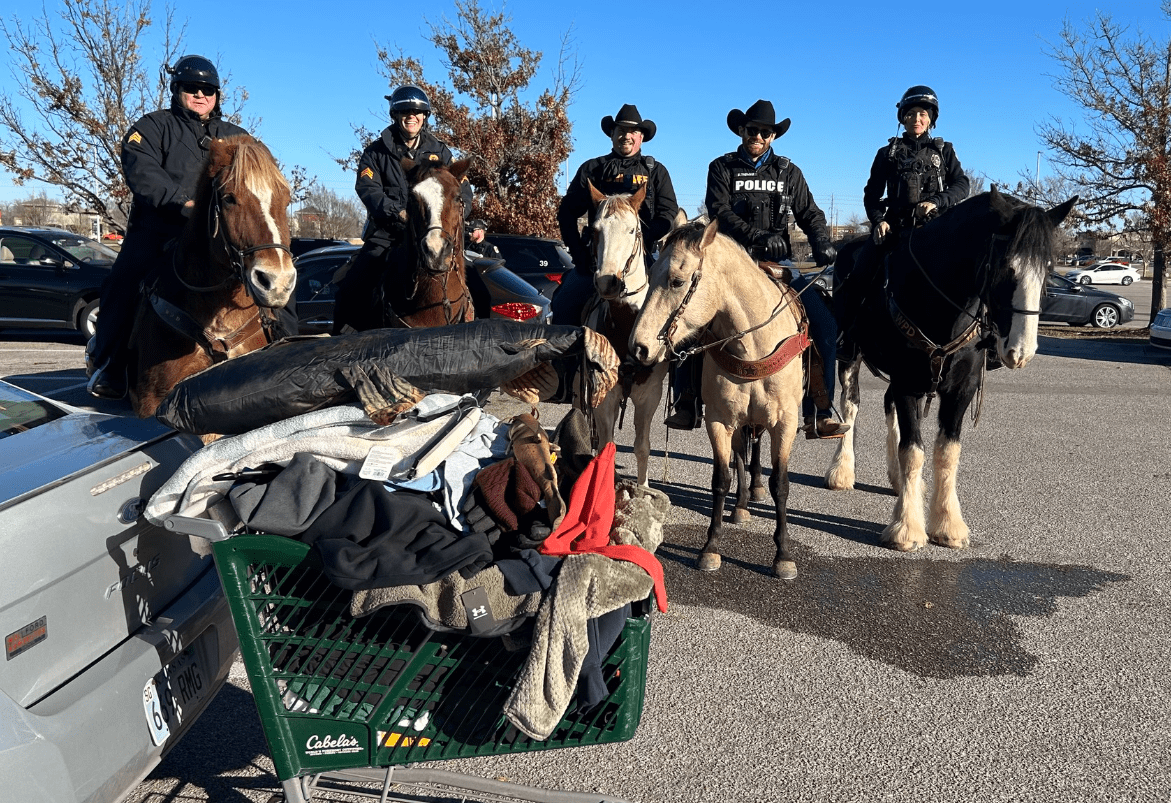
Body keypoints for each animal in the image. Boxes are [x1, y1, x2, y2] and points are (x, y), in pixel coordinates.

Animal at [824, 188, 1077, 552]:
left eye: (1047, 269)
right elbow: (913, 450)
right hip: (850, 357)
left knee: (888, 408)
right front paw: (907, 528)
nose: (1021, 351)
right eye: (1006, 267)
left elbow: (947, 452)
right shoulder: (907, 382)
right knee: (851, 406)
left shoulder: (961, 388)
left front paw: (947, 524)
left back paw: (900, 481)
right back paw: (842, 470)